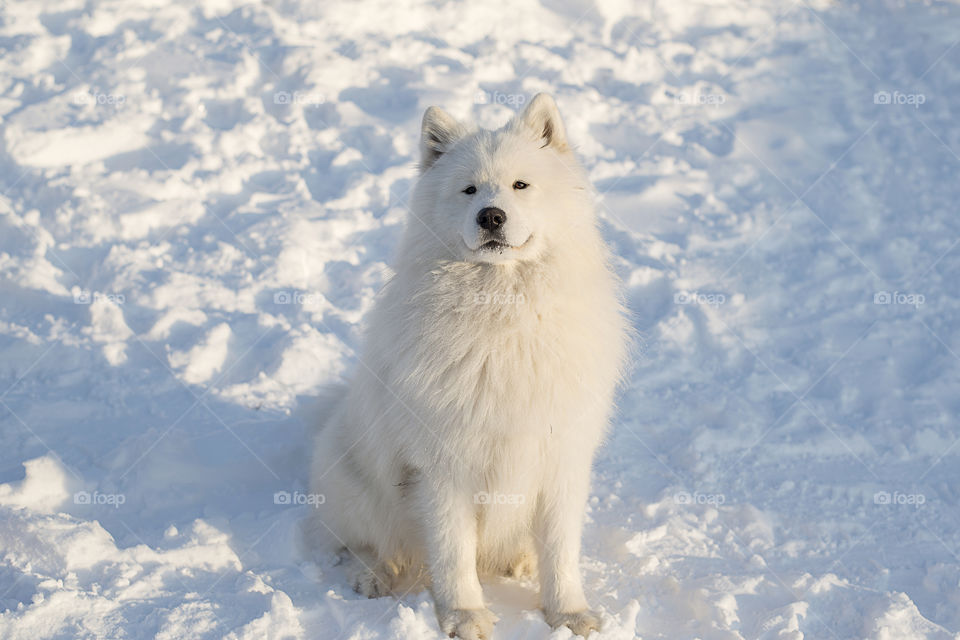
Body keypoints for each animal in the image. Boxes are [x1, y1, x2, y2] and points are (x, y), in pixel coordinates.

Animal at [310, 95, 632, 640]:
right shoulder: (443, 467)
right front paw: (464, 616)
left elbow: (561, 551)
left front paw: (568, 614)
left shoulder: (560, 457)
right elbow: (452, 552)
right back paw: (373, 575)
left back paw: (520, 561)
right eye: (469, 190)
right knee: (365, 544)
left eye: (521, 185)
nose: (491, 216)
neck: (502, 316)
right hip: (358, 483)